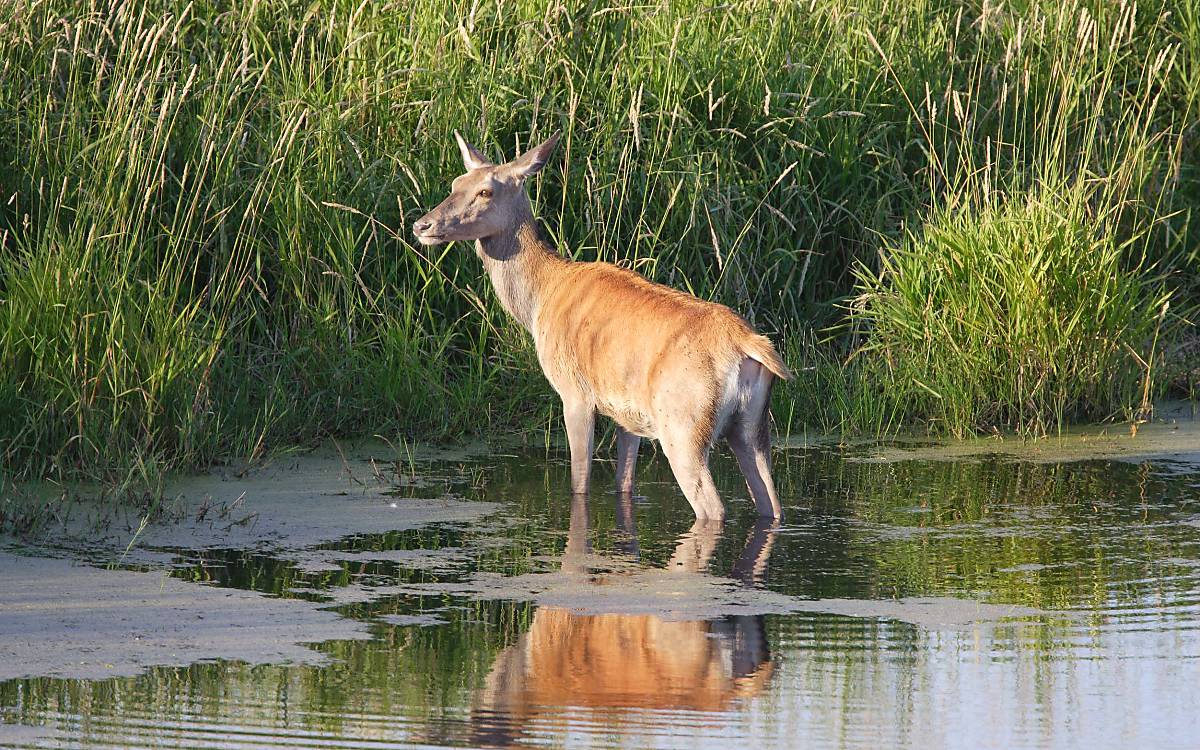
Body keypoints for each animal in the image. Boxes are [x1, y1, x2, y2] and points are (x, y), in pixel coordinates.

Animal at [415, 128, 796, 520]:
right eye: (456, 183)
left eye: (485, 191)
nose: (421, 225)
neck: (540, 298)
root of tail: (747, 344)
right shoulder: (629, 416)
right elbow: (623, 484)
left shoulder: (575, 392)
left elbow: (579, 483)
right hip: (753, 425)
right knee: (771, 502)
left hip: (683, 423)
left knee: (713, 506)